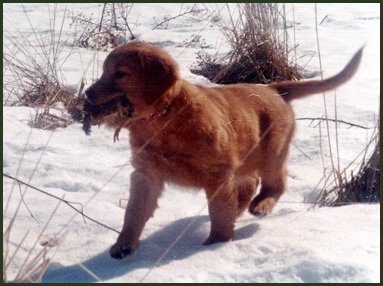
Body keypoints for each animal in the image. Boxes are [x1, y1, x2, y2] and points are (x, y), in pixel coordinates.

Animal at [83, 40, 364, 260]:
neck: (163, 118)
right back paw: (241, 208)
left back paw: (261, 205)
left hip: (272, 152)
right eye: (104, 71)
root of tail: (273, 88)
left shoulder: (216, 173)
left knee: (275, 183)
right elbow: (134, 212)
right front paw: (123, 245)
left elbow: (218, 211)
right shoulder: (146, 173)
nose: (86, 94)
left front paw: (216, 244)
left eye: (119, 74)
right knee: (249, 183)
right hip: (247, 155)